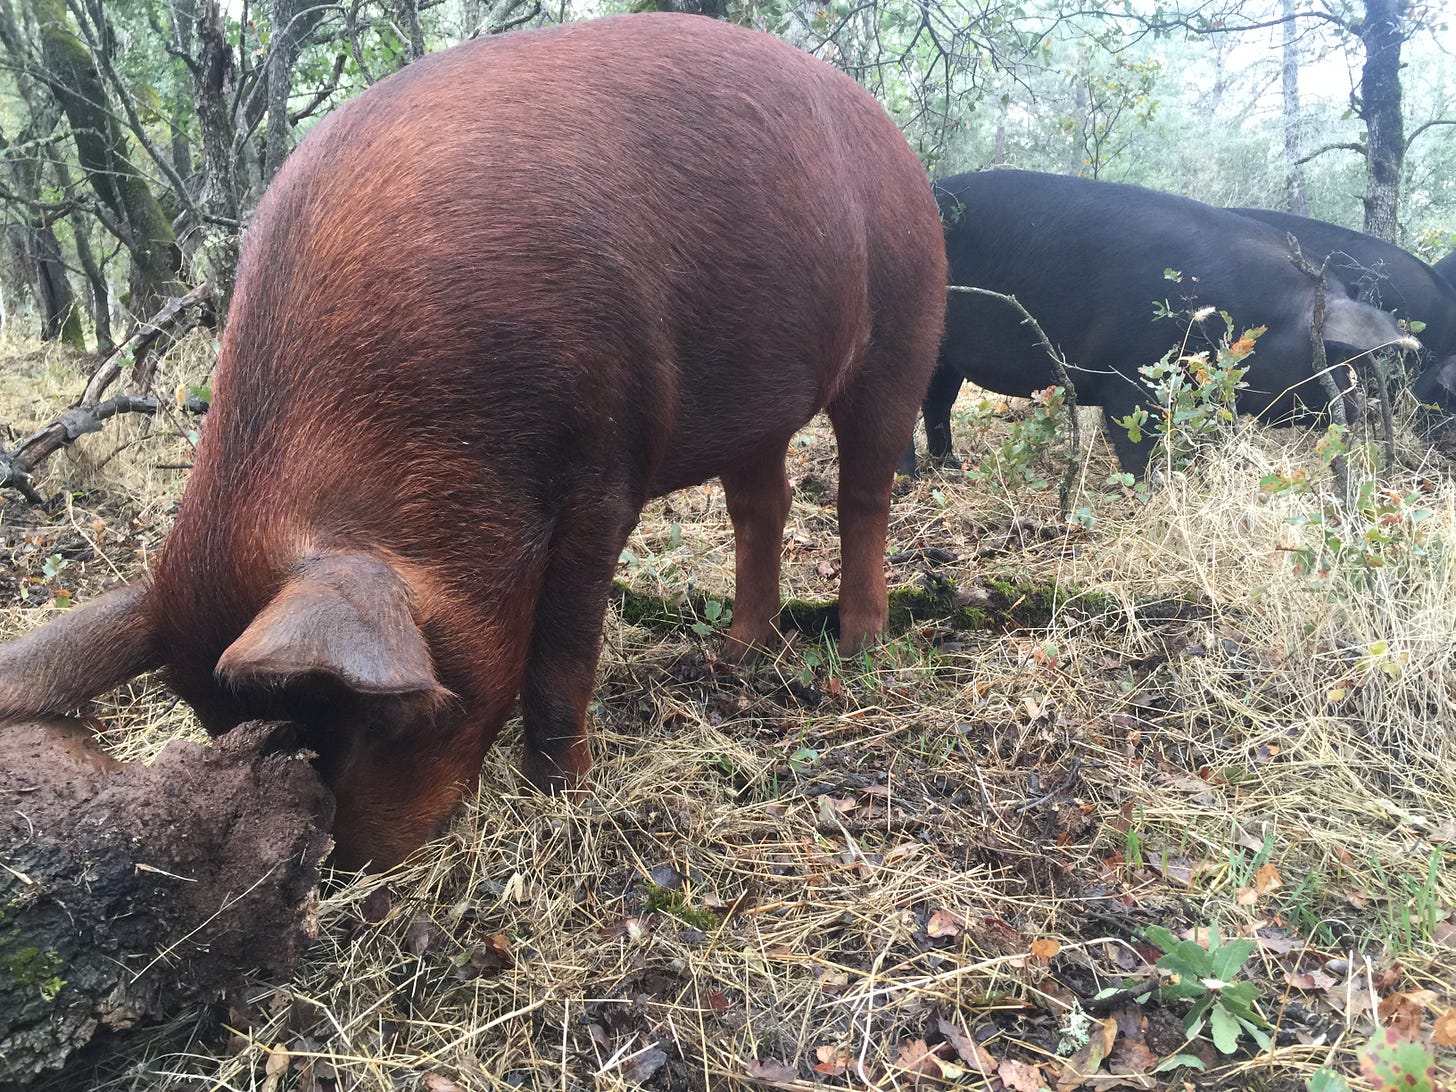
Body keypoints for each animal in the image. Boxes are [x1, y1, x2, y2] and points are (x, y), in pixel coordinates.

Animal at [0, 14, 946, 869]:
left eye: (383, 715)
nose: (352, 866)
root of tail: (897, 141)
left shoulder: (604, 465)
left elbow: (561, 649)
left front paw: (561, 791)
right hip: (761, 401)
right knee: (763, 502)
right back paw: (734, 653)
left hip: (907, 324)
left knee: (864, 488)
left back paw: (860, 646)